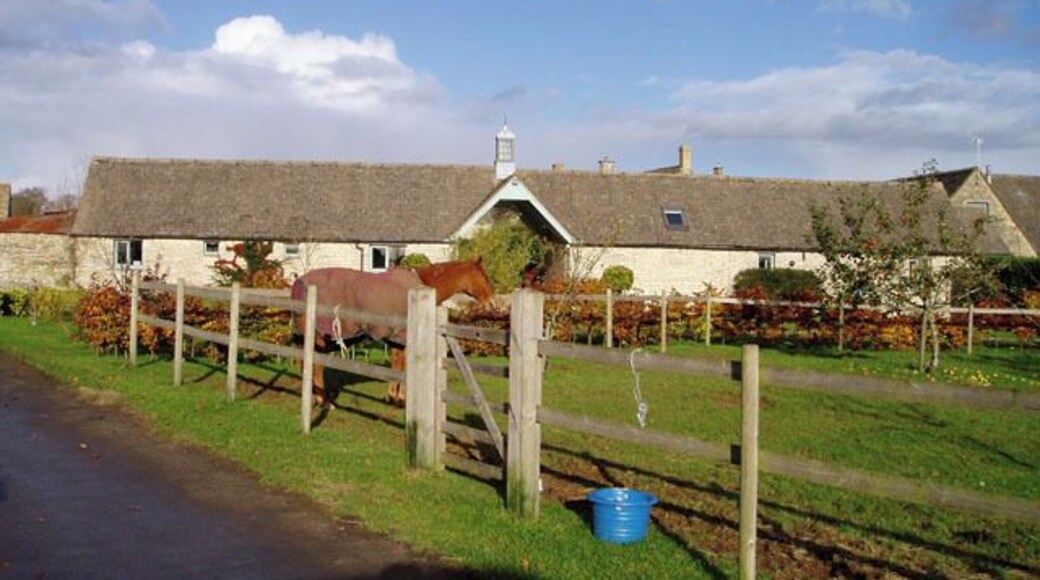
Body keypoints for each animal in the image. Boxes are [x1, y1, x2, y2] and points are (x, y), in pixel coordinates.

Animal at [291, 258, 495, 407]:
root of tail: (299, 283)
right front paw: (401, 398)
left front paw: (393, 396)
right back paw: (323, 401)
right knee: (317, 365)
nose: (492, 303)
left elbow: (397, 364)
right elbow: (404, 366)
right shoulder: (406, 337)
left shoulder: (398, 339)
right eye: (485, 277)